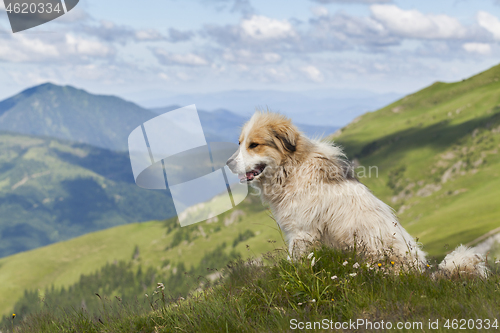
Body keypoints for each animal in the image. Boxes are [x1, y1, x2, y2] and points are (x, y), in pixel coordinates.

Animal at [227, 111, 488, 278]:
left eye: (254, 145)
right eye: (239, 143)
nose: (228, 164)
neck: (293, 168)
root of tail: (422, 273)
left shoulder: (302, 233)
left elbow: (297, 263)